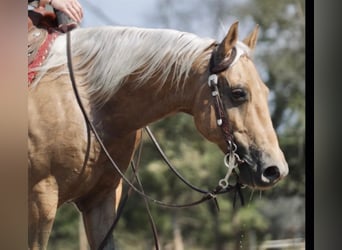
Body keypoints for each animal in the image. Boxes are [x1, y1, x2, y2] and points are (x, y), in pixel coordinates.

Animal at [28, 22, 288, 249]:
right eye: (238, 92)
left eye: (266, 91)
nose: (275, 169)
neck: (89, 104)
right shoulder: (40, 201)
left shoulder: (101, 198)